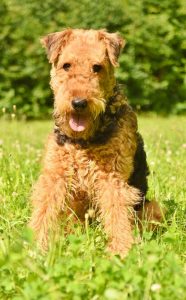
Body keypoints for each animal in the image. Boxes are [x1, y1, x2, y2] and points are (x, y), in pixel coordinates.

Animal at [29, 28, 163, 258]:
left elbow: (117, 213)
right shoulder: (55, 175)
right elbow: (44, 209)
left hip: (152, 207)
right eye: (66, 65)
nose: (79, 103)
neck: (83, 140)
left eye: (97, 67)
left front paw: (121, 250)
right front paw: (34, 245)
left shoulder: (112, 179)